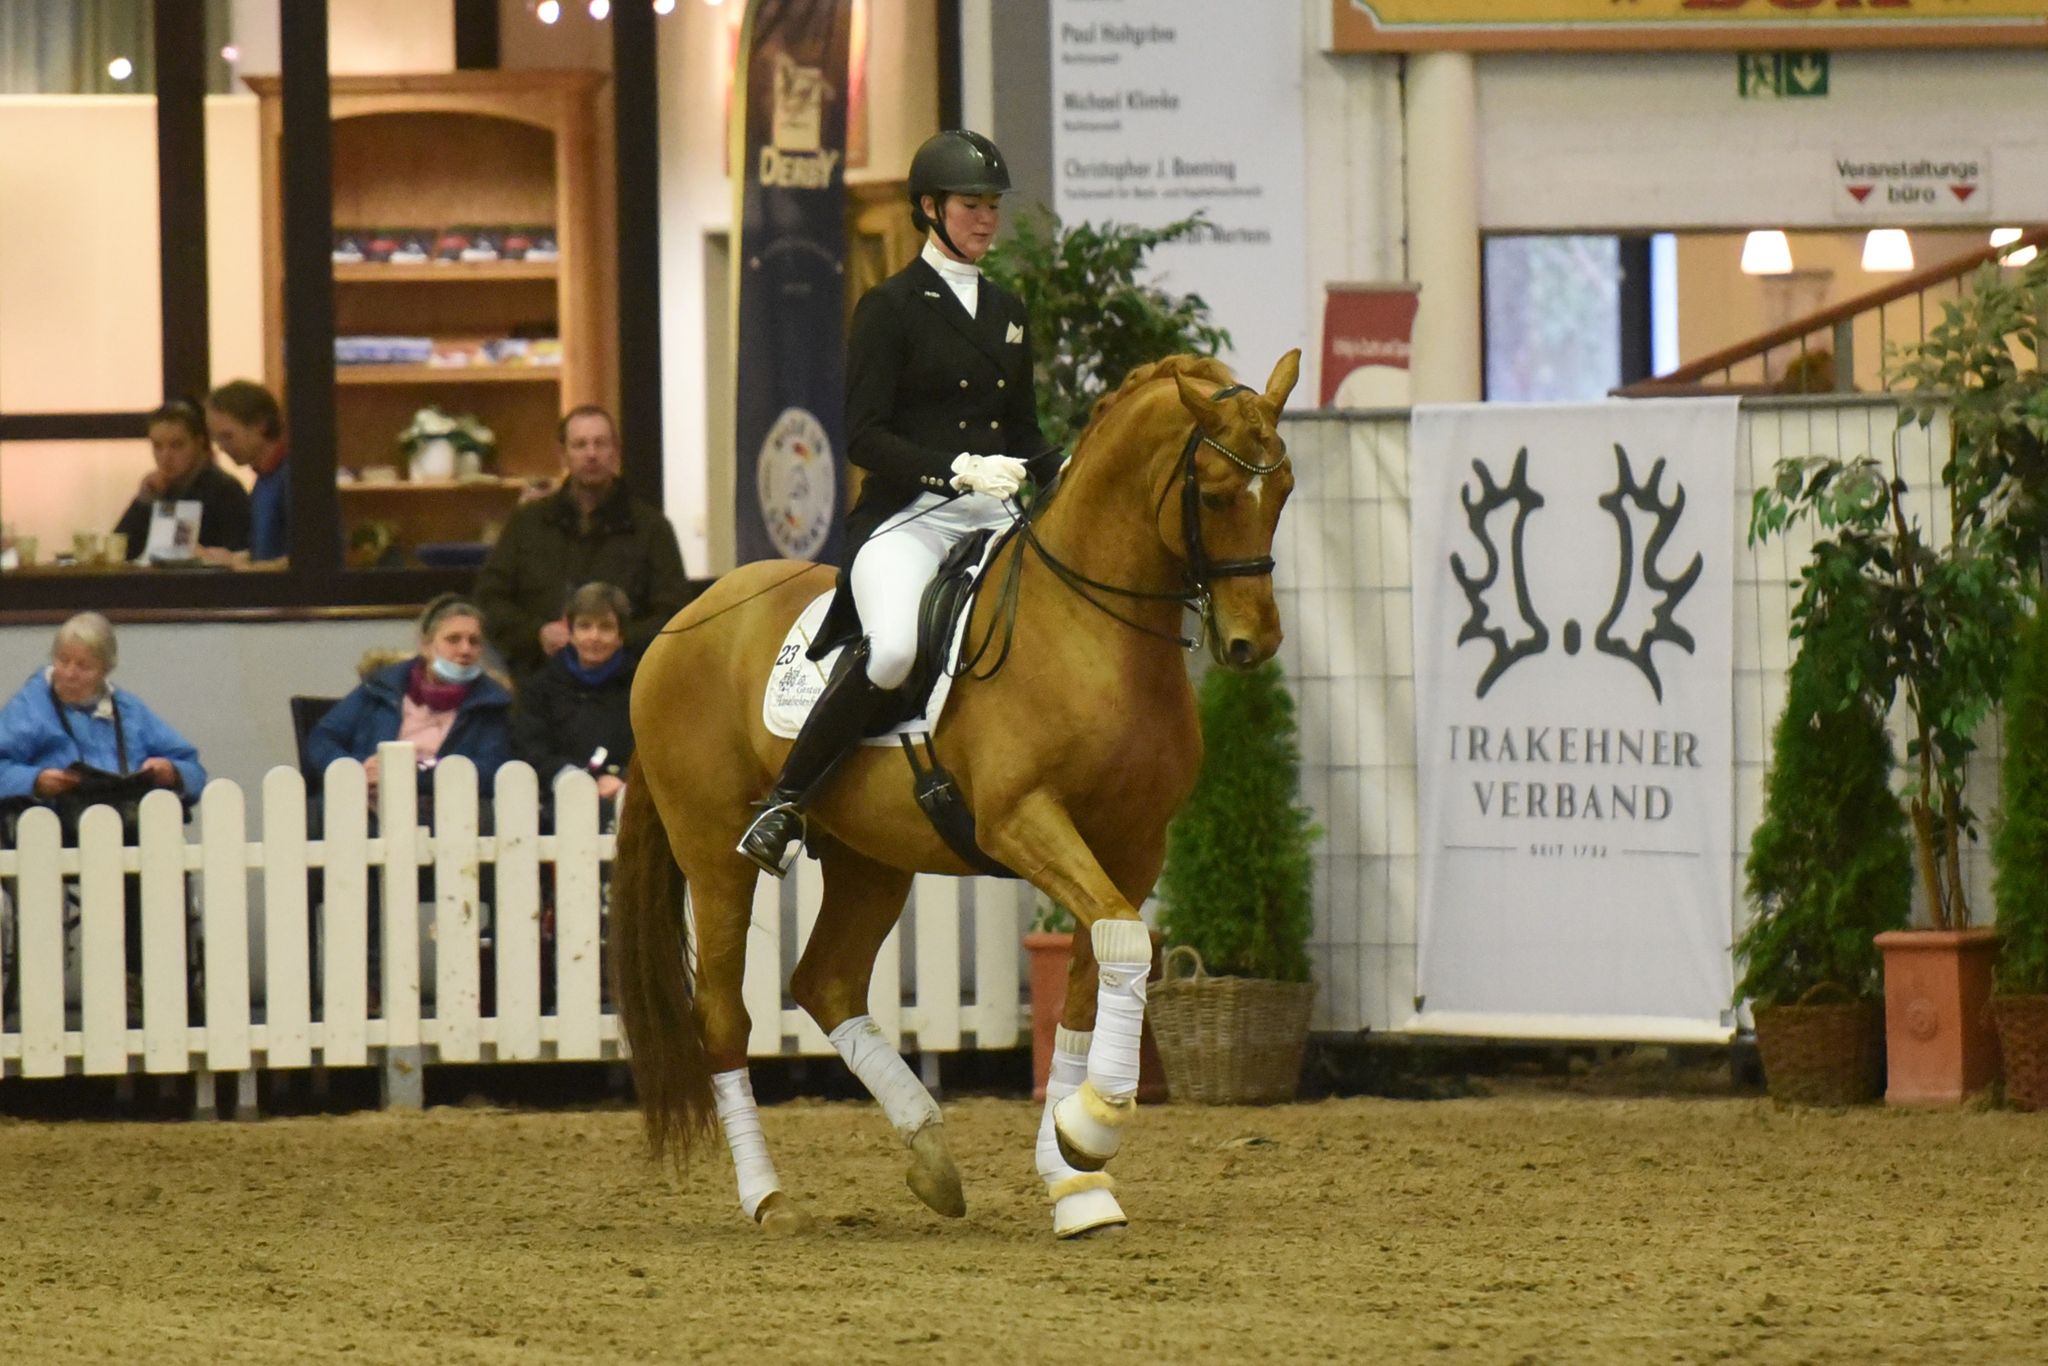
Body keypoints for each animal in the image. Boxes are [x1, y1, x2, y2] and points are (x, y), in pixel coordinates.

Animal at [614, 350, 1302, 1236]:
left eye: (1283, 490)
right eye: (1214, 494)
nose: (1254, 643)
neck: (1092, 630)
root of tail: (681, 621)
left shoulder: (1132, 845)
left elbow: (1098, 974)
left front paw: (1075, 1174)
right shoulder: (1023, 821)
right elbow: (1119, 944)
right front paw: (1091, 1129)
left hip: (871, 860)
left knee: (825, 983)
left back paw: (931, 1156)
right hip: (714, 853)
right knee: (725, 1015)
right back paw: (768, 1196)